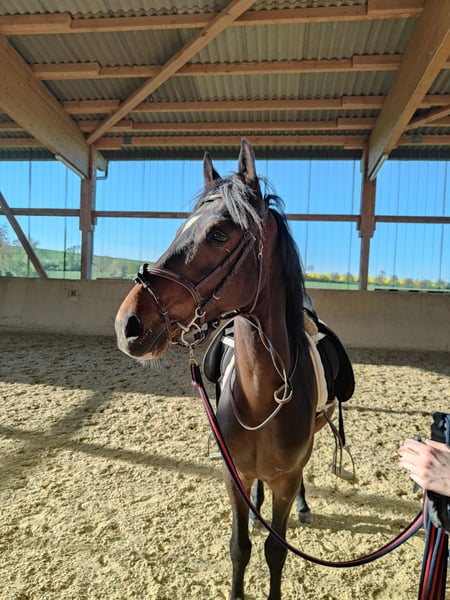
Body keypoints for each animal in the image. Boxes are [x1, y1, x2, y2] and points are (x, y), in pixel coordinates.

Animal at [115, 139, 340, 600]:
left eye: (219, 234)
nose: (128, 323)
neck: (262, 398)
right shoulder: (232, 475)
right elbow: (240, 547)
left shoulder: (286, 478)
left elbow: (276, 551)